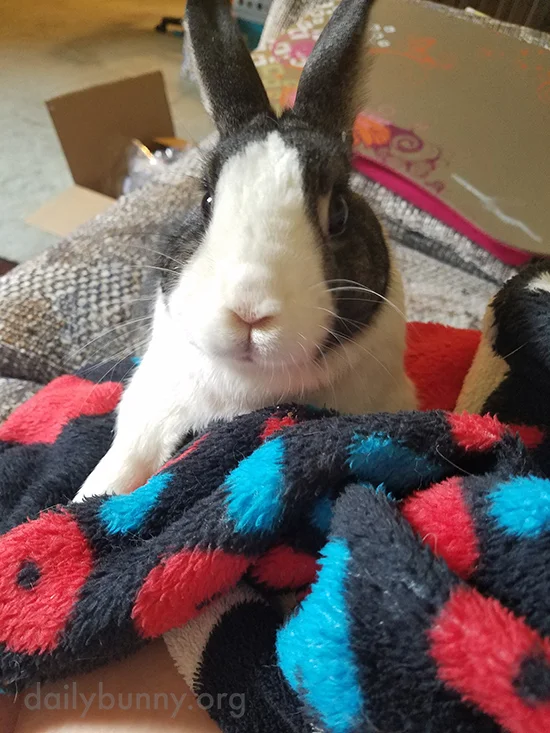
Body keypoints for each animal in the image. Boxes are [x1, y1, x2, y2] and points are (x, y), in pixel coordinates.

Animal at [73, 0, 416, 502]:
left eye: (338, 214)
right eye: (206, 201)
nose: (249, 312)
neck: (255, 388)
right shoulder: (148, 405)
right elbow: (120, 468)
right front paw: (84, 501)